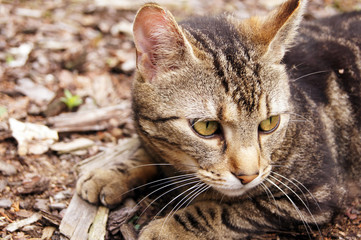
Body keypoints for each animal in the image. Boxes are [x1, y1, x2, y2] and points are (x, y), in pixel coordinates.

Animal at [76, 0, 360, 238]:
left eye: (269, 124)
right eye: (206, 127)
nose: (248, 176)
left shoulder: (315, 193)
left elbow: (227, 209)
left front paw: (167, 228)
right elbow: (147, 153)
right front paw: (112, 173)